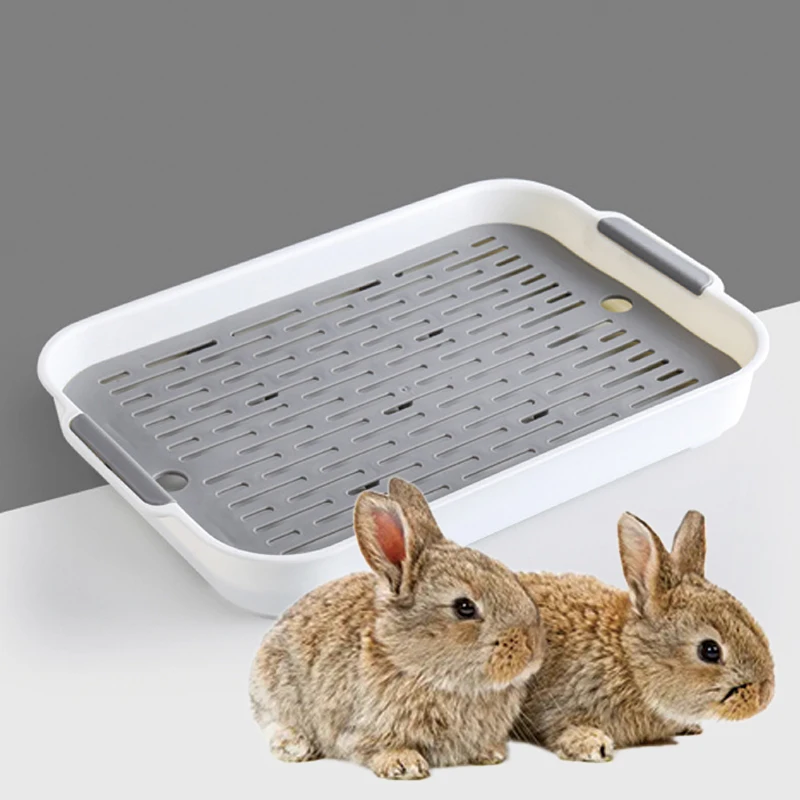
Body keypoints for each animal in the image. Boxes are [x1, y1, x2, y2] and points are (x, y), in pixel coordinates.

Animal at [249, 477, 546, 780]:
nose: (533, 650)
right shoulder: (360, 729)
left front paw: (490, 753)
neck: (414, 668)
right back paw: (296, 748)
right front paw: (404, 764)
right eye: (464, 607)